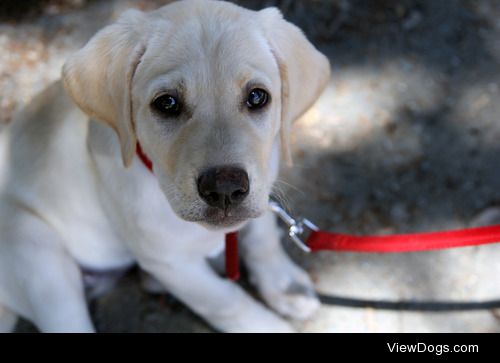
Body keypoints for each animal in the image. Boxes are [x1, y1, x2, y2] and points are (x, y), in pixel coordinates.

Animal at [0, 0, 328, 332]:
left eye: (257, 96)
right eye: (167, 103)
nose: (225, 190)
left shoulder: (262, 183)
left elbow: (262, 237)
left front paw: (285, 285)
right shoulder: (169, 262)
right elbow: (226, 301)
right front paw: (267, 324)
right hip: (36, 251)